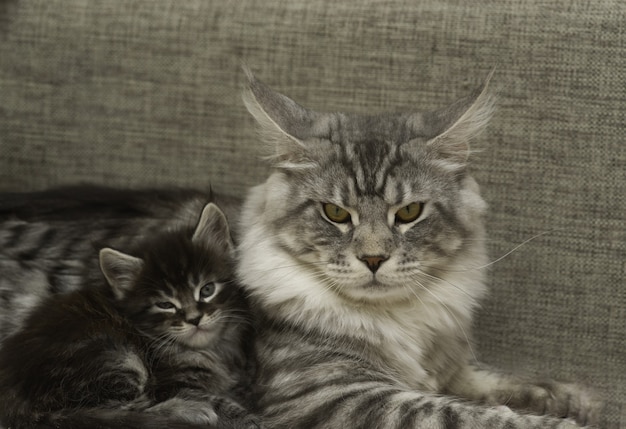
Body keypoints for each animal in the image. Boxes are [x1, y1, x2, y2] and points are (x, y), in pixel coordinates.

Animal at [0, 201, 260, 428]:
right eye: (165, 304)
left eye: (207, 290)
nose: (194, 319)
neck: (211, 350)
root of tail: (13, 402)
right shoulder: (171, 384)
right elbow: (214, 400)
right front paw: (249, 419)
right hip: (112, 355)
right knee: (122, 412)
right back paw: (190, 410)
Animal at [235, 70, 600, 428]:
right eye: (335, 212)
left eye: (409, 212)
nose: (373, 258)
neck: (396, 318)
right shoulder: (335, 395)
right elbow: (470, 414)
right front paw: (562, 421)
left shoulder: (449, 367)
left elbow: (488, 378)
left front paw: (570, 398)